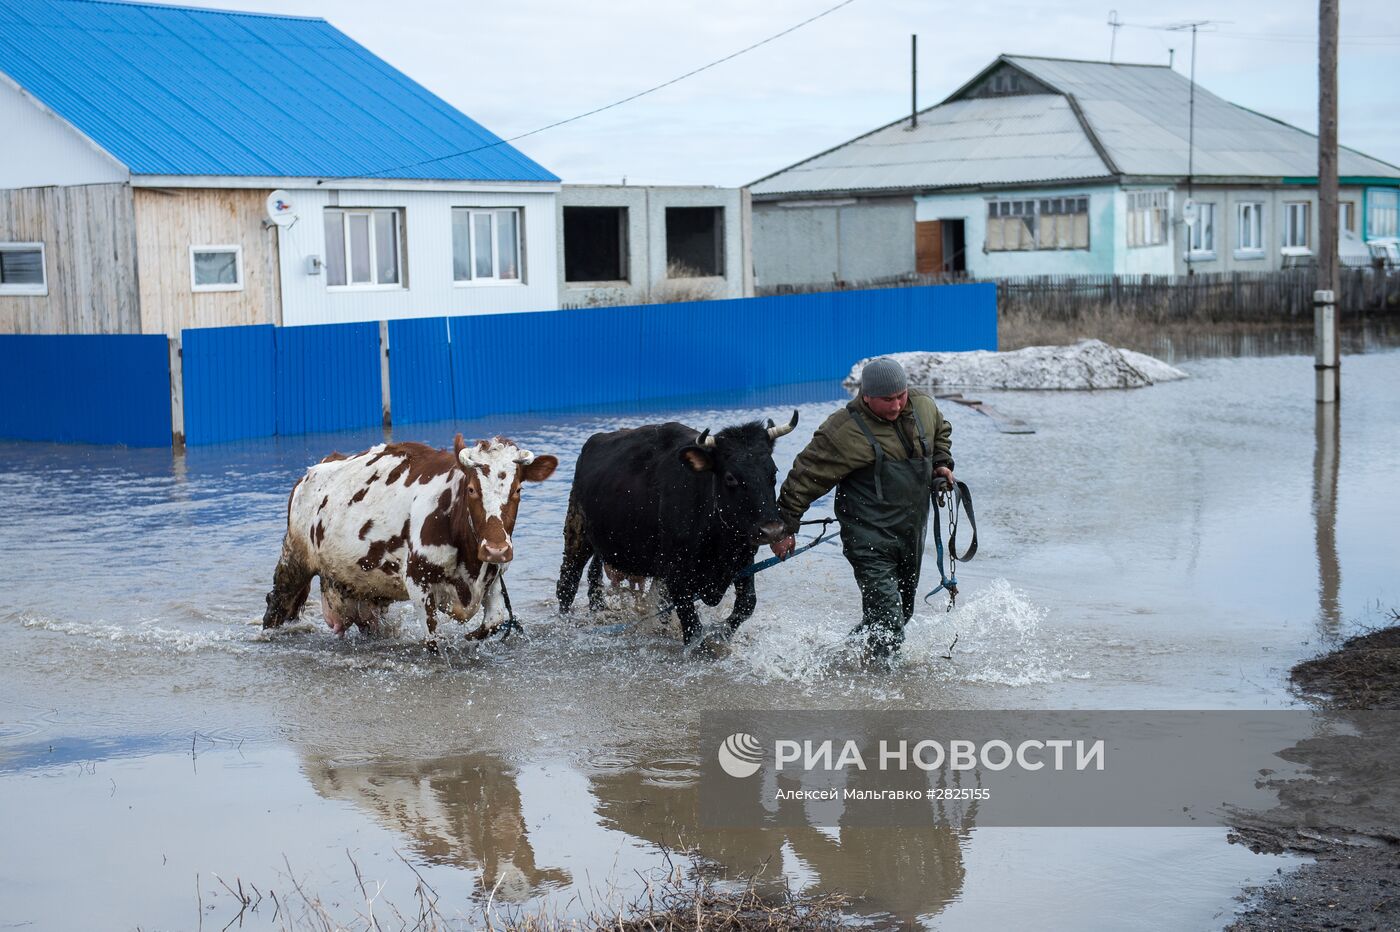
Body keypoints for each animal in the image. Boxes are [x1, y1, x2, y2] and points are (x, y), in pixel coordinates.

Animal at [263, 431, 557, 643]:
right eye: (472, 489)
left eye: (517, 489)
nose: (497, 548)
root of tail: (311, 472)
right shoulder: (418, 580)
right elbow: (433, 641)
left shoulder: (494, 577)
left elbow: (493, 622)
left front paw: (470, 637)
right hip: (294, 562)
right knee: (276, 606)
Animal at [554, 411, 800, 646]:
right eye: (730, 477)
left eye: (773, 472)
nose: (772, 531)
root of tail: (595, 441)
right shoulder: (676, 572)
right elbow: (692, 626)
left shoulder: (744, 560)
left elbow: (746, 604)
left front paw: (721, 634)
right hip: (577, 533)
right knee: (567, 583)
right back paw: (564, 625)